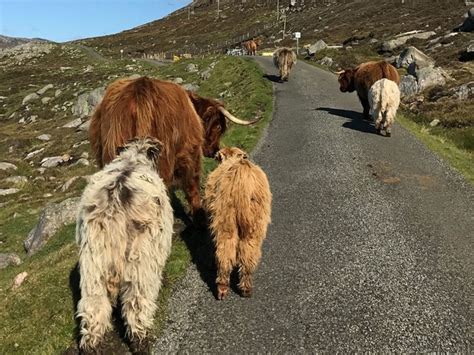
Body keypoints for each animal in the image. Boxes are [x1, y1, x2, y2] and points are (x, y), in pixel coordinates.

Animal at [76, 138, 174, 352]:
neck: (133, 157)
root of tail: (113, 206)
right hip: (140, 255)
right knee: (137, 301)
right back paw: (141, 342)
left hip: (93, 259)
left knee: (93, 304)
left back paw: (91, 345)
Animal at [203, 147, 270, 300]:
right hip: (255, 224)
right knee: (248, 253)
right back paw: (246, 288)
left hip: (225, 221)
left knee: (225, 252)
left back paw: (222, 287)